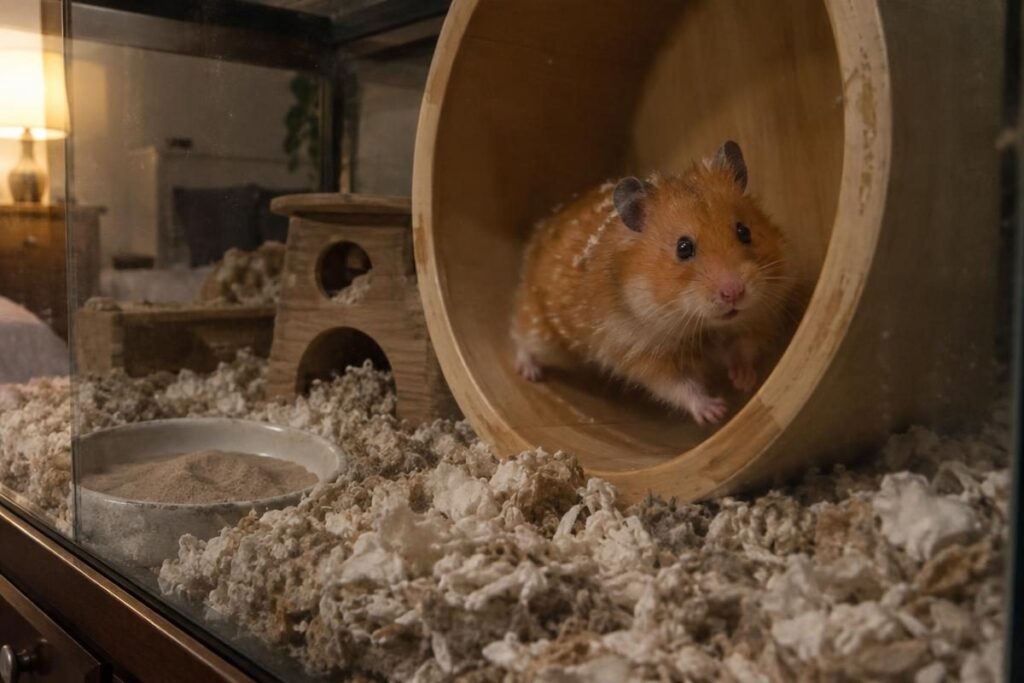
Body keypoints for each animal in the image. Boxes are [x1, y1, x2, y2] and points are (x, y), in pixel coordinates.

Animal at [511, 141, 798, 425]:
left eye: (744, 231)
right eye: (683, 248)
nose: (734, 293)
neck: (703, 327)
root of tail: (542, 229)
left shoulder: (759, 318)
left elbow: (743, 349)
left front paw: (744, 381)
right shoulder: (644, 355)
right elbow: (681, 388)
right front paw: (716, 412)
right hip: (543, 331)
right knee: (520, 335)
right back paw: (529, 372)